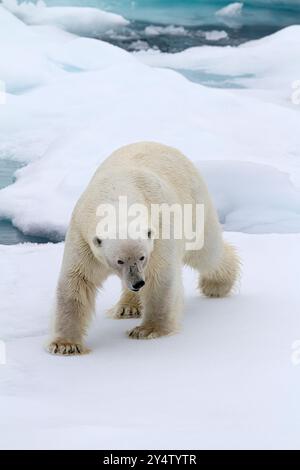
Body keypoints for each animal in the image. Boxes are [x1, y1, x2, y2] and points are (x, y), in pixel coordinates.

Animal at [47, 141, 239, 354]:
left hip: (194, 205)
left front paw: (147, 330)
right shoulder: (82, 237)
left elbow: (159, 278)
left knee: (206, 252)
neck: (118, 195)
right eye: (119, 261)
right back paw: (127, 307)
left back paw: (216, 285)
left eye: (142, 257)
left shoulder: (158, 230)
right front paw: (65, 345)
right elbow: (77, 281)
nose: (138, 283)